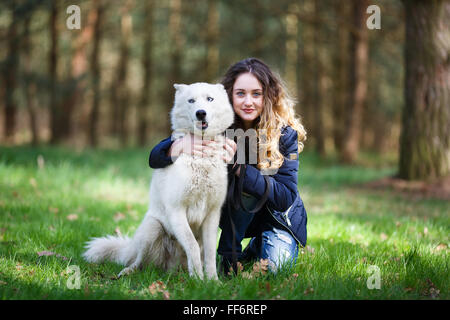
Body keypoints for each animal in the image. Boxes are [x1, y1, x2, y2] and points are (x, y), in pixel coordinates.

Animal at [82, 83, 234, 280]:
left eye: (210, 99)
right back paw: (127, 271)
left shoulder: (212, 215)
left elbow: (209, 254)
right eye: (191, 100)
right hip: (152, 229)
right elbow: (191, 245)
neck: (201, 159)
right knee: (137, 262)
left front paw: (212, 281)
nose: (201, 113)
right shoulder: (177, 211)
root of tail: (170, 268)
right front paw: (198, 280)